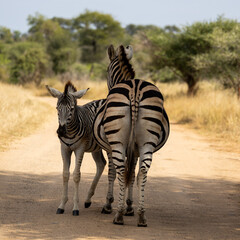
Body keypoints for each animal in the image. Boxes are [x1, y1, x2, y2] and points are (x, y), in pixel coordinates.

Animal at [46, 82, 116, 216]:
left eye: (72, 109)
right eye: (57, 108)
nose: (60, 131)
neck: (70, 131)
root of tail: (104, 100)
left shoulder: (80, 148)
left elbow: (76, 175)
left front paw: (75, 208)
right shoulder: (64, 148)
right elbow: (65, 174)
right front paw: (62, 205)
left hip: (111, 146)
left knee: (113, 171)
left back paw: (110, 204)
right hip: (96, 148)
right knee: (101, 164)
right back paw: (88, 200)